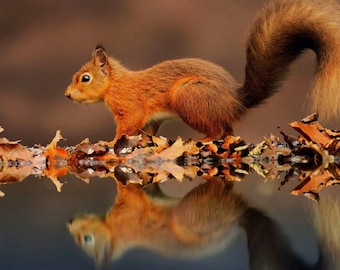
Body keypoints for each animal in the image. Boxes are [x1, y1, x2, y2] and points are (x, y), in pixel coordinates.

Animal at [65, 0, 340, 143]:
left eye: (85, 78)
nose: (67, 95)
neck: (116, 84)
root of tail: (236, 102)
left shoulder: (130, 106)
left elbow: (127, 126)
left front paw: (110, 143)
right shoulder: (151, 119)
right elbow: (147, 131)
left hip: (189, 98)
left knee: (217, 131)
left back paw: (204, 141)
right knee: (227, 131)